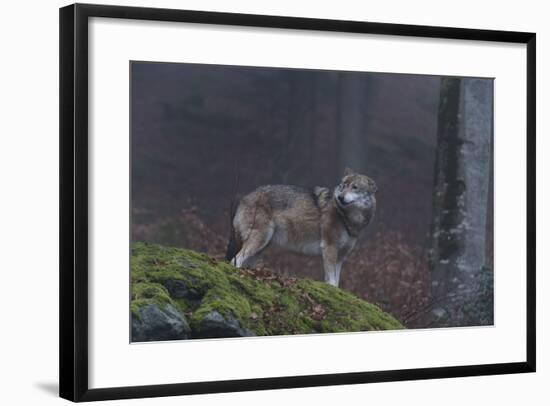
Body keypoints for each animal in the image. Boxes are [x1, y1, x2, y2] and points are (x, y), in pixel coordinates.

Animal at [226, 170, 378, 288]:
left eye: (355, 187)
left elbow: (337, 280)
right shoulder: (329, 248)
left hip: (261, 248)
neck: (347, 218)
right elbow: (331, 280)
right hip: (259, 240)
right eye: (343, 186)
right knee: (235, 259)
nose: (340, 197)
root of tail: (244, 198)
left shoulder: (341, 256)